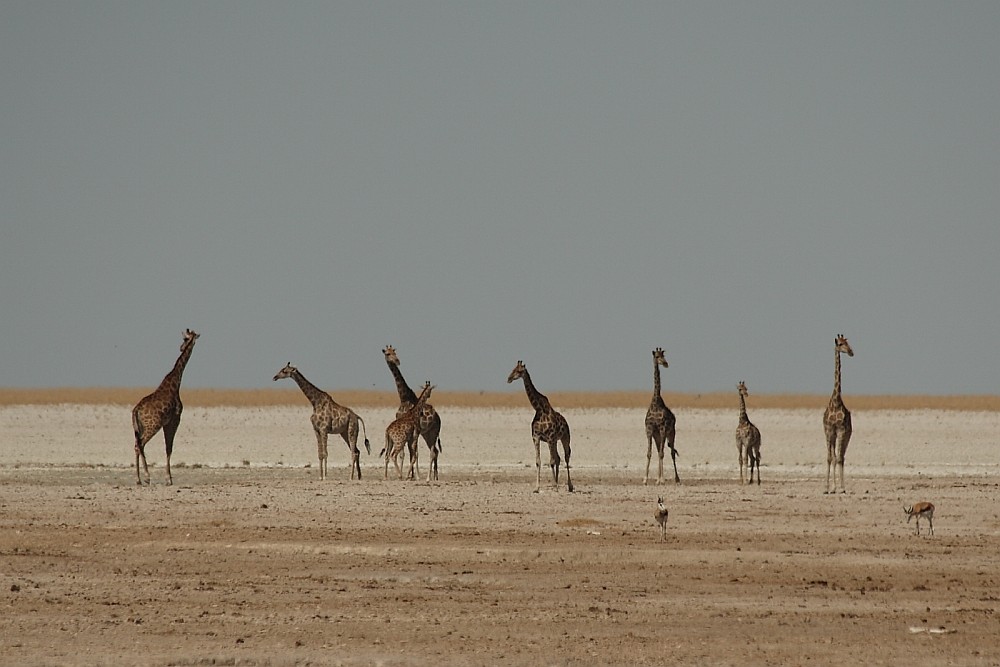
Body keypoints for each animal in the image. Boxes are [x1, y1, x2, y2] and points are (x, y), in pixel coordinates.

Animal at [135, 328, 201, 486]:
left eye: (185, 339)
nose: (181, 348)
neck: (176, 382)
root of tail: (135, 410)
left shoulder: (167, 423)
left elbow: (167, 447)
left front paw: (168, 478)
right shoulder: (175, 420)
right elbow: (169, 448)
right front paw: (168, 479)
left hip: (140, 427)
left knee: (136, 445)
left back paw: (139, 479)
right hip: (152, 426)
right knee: (140, 445)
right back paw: (146, 477)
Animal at [382, 348, 442, 482]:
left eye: (394, 352)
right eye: (388, 353)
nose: (397, 361)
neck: (404, 398)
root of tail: (438, 418)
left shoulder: (413, 434)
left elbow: (413, 454)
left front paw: (413, 475)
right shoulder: (411, 434)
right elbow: (408, 454)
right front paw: (410, 475)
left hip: (433, 432)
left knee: (433, 452)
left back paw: (430, 477)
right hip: (426, 434)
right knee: (434, 451)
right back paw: (432, 476)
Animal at [504, 362, 576, 494]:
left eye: (519, 371)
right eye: (513, 369)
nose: (509, 378)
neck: (539, 409)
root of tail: (565, 421)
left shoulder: (550, 437)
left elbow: (551, 461)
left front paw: (555, 486)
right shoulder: (536, 437)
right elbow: (538, 461)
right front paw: (537, 488)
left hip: (565, 438)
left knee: (566, 457)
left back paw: (569, 486)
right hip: (554, 441)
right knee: (558, 458)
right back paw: (555, 483)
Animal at [644, 350, 684, 486]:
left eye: (663, 355)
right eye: (657, 356)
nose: (665, 363)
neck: (655, 402)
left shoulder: (662, 429)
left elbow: (662, 454)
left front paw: (661, 479)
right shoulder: (649, 430)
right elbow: (650, 453)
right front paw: (645, 479)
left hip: (671, 433)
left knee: (670, 453)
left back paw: (676, 479)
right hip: (657, 436)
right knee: (659, 451)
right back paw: (658, 478)